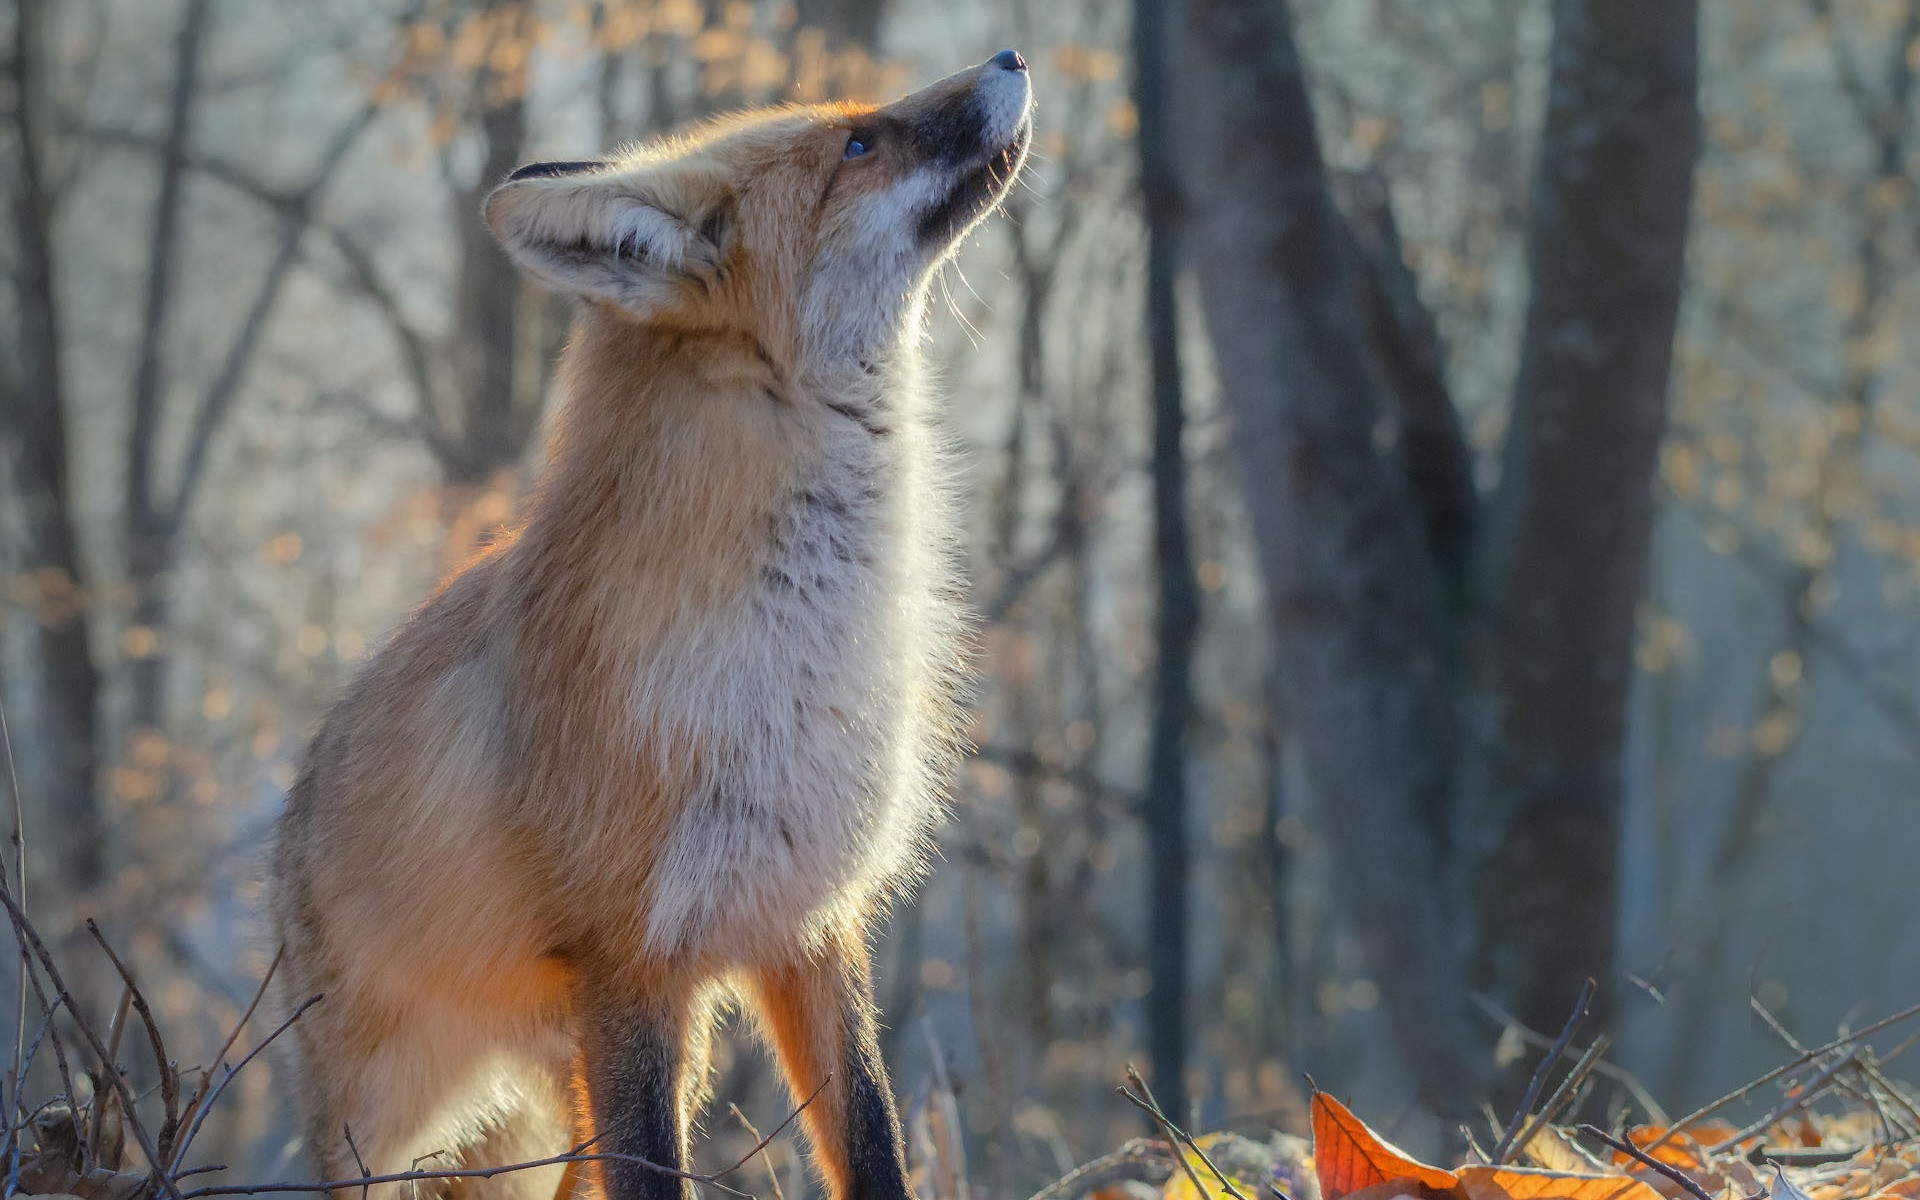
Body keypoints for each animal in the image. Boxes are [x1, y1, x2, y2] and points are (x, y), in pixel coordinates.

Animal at [270, 51, 1036, 1198]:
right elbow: (655, 1172)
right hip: (390, 1126)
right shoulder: (627, 964)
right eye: (856, 145)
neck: (791, 663)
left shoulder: (807, 926)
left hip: (588, 1091)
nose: (1010, 58)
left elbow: (872, 1140)